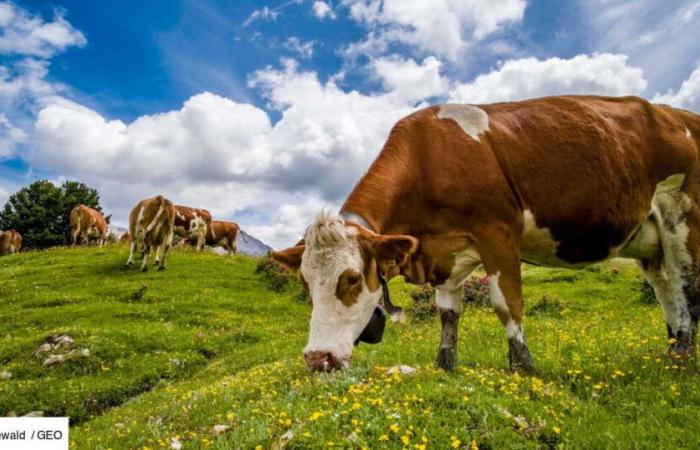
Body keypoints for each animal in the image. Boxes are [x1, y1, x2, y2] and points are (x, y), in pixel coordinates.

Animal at [272, 96, 700, 374]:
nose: (317, 358)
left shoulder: (498, 234)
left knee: (685, 286)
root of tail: (677, 113)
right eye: (306, 284)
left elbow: (506, 305)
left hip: (682, 215)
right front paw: (445, 366)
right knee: (665, 289)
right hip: (648, 239)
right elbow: (448, 313)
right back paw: (671, 351)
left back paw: (683, 359)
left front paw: (523, 369)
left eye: (352, 278)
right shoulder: (445, 254)